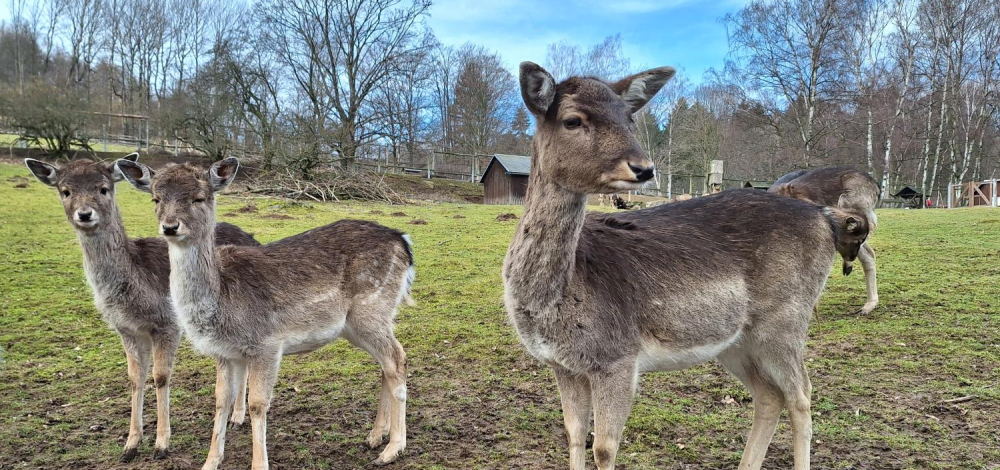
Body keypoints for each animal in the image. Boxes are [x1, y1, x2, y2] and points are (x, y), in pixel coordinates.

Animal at [23, 155, 260, 462]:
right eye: (65, 191)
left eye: (103, 189)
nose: (85, 214)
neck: (134, 289)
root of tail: (252, 236)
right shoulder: (125, 329)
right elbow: (135, 378)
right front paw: (130, 445)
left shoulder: (167, 323)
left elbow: (160, 376)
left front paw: (161, 444)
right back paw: (235, 416)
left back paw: (238, 416)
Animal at [116, 159, 414, 470]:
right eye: (156, 198)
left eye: (199, 198)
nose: (170, 226)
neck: (220, 302)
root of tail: (403, 241)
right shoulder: (225, 353)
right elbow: (221, 401)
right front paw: (210, 461)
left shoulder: (267, 344)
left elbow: (257, 404)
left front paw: (259, 463)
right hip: (359, 325)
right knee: (386, 364)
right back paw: (375, 436)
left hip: (372, 309)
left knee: (397, 359)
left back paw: (393, 448)